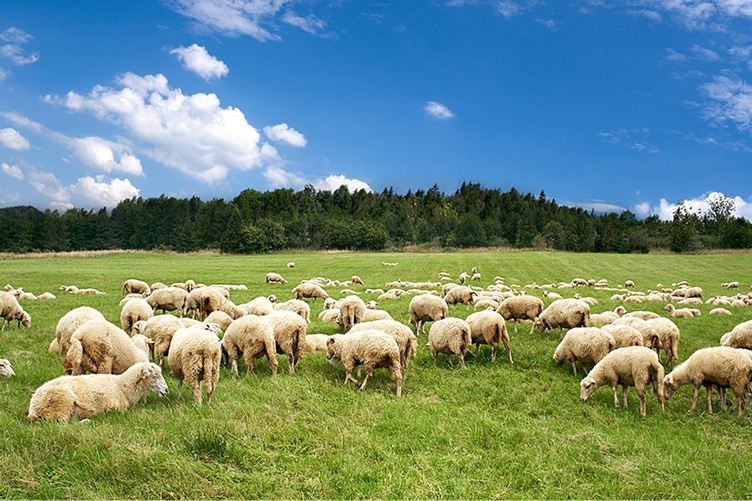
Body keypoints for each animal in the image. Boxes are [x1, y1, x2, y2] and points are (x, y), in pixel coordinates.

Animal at [27, 362, 168, 421]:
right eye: (155, 375)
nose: (166, 390)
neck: (122, 386)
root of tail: (33, 408)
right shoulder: (114, 407)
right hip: (62, 402)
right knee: (61, 423)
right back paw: (87, 420)